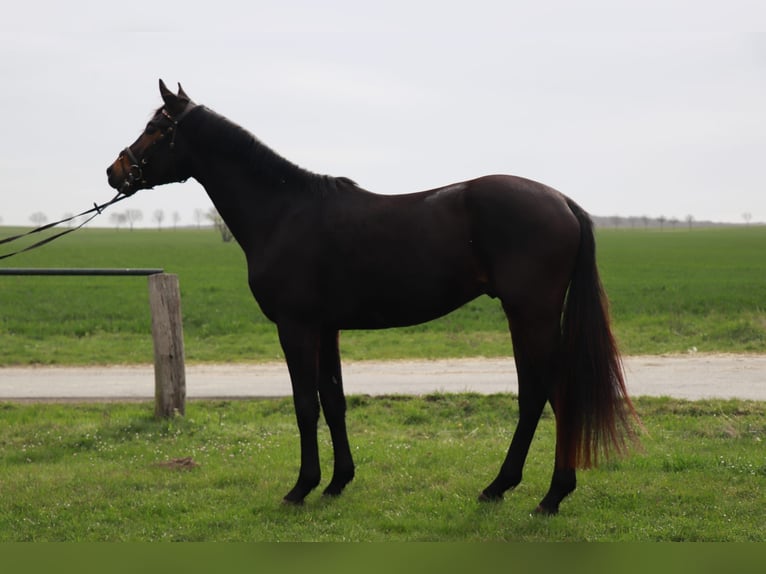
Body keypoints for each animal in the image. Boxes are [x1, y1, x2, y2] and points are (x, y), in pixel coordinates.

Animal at [105, 80, 640, 512]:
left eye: (155, 127)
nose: (114, 172)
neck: (284, 211)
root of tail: (563, 202)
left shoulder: (296, 327)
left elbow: (305, 404)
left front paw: (301, 487)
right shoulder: (326, 328)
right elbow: (334, 400)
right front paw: (337, 482)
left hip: (532, 314)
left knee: (555, 393)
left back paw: (552, 496)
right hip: (523, 316)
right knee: (533, 396)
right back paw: (499, 487)